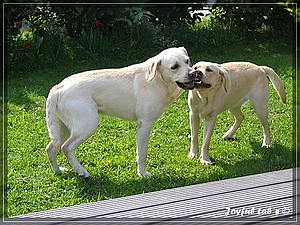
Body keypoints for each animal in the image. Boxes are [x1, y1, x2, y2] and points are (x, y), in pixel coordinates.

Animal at [45, 47, 199, 178]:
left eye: (187, 61)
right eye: (174, 67)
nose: (193, 73)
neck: (159, 81)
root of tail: (58, 87)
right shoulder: (144, 124)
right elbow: (142, 153)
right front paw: (143, 174)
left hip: (64, 128)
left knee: (51, 148)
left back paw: (58, 171)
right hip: (87, 124)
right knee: (66, 147)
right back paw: (81, 171)